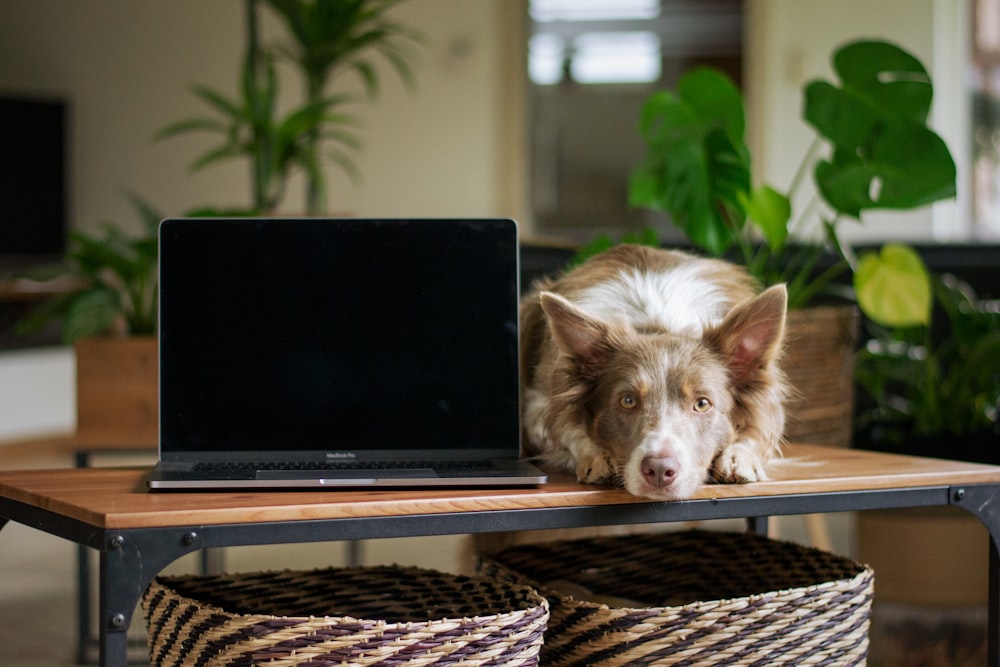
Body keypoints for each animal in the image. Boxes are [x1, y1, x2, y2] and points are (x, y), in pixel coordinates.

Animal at [524, 245, 788, 500]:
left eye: (702, 403)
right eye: (627, 401)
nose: (660, 469)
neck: (659, 326)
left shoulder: (771, 407)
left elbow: (759, 431)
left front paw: (739, 457)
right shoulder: (539, 406)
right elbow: (567, 430)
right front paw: (596, 455)